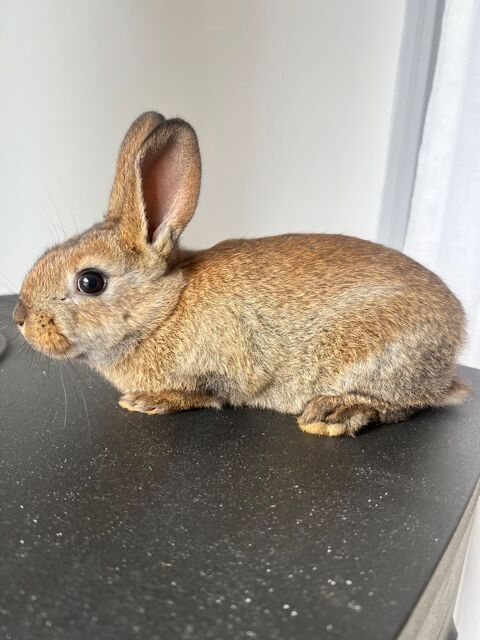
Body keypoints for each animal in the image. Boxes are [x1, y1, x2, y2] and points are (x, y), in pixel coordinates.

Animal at [13, 111, 471, 436]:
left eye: (90, 281)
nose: (19, 319)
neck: (165, 310)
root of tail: (455, 334)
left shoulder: (228, 367)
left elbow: (208, 393)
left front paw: (149, 401)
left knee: (403, 404)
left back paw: (334, 413)